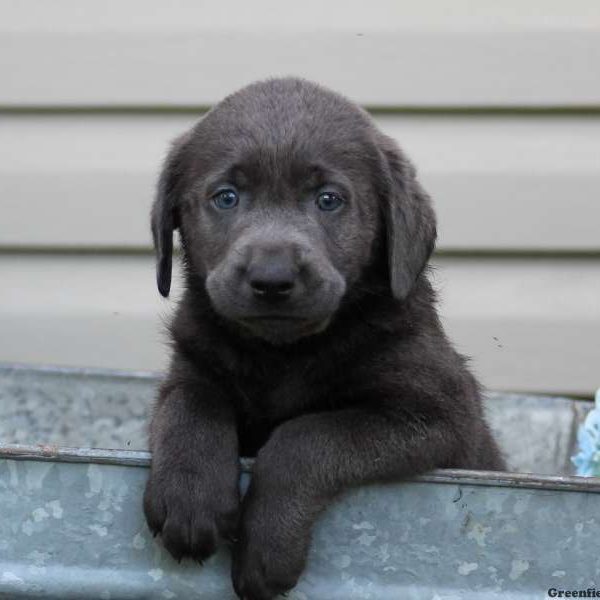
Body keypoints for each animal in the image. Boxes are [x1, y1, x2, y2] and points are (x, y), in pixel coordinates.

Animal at [145, 77, 506, 596]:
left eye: (329, 199)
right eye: (226, 197)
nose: (272, 278)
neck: (284, 355)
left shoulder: (439, 415)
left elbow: (307, 435)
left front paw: (266, 546)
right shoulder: (191, 364)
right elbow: (190, 404)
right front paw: (190, 497)